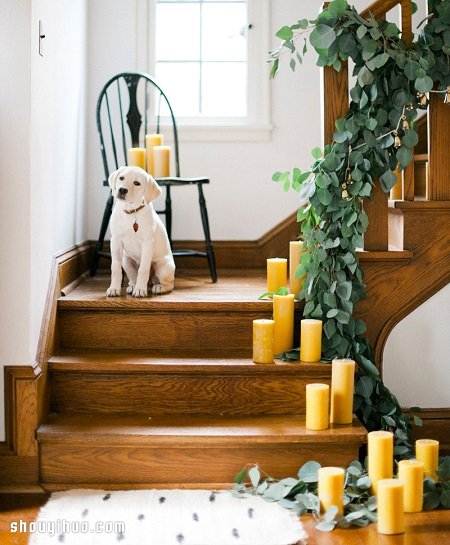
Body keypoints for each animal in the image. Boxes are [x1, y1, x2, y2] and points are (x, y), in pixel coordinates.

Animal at [106, 166, 175, 298]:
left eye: (137, 183)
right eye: (121, 178)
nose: (122, 190)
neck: (131, 212)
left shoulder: (147, 243)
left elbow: (143, 269)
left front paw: (140, 290)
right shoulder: (115, 240)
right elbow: (115, 268)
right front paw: (114, 289)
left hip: (164, 267)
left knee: (170, 284)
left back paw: (158, 287)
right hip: (126, 261)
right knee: (133, 277)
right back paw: (132, 286)